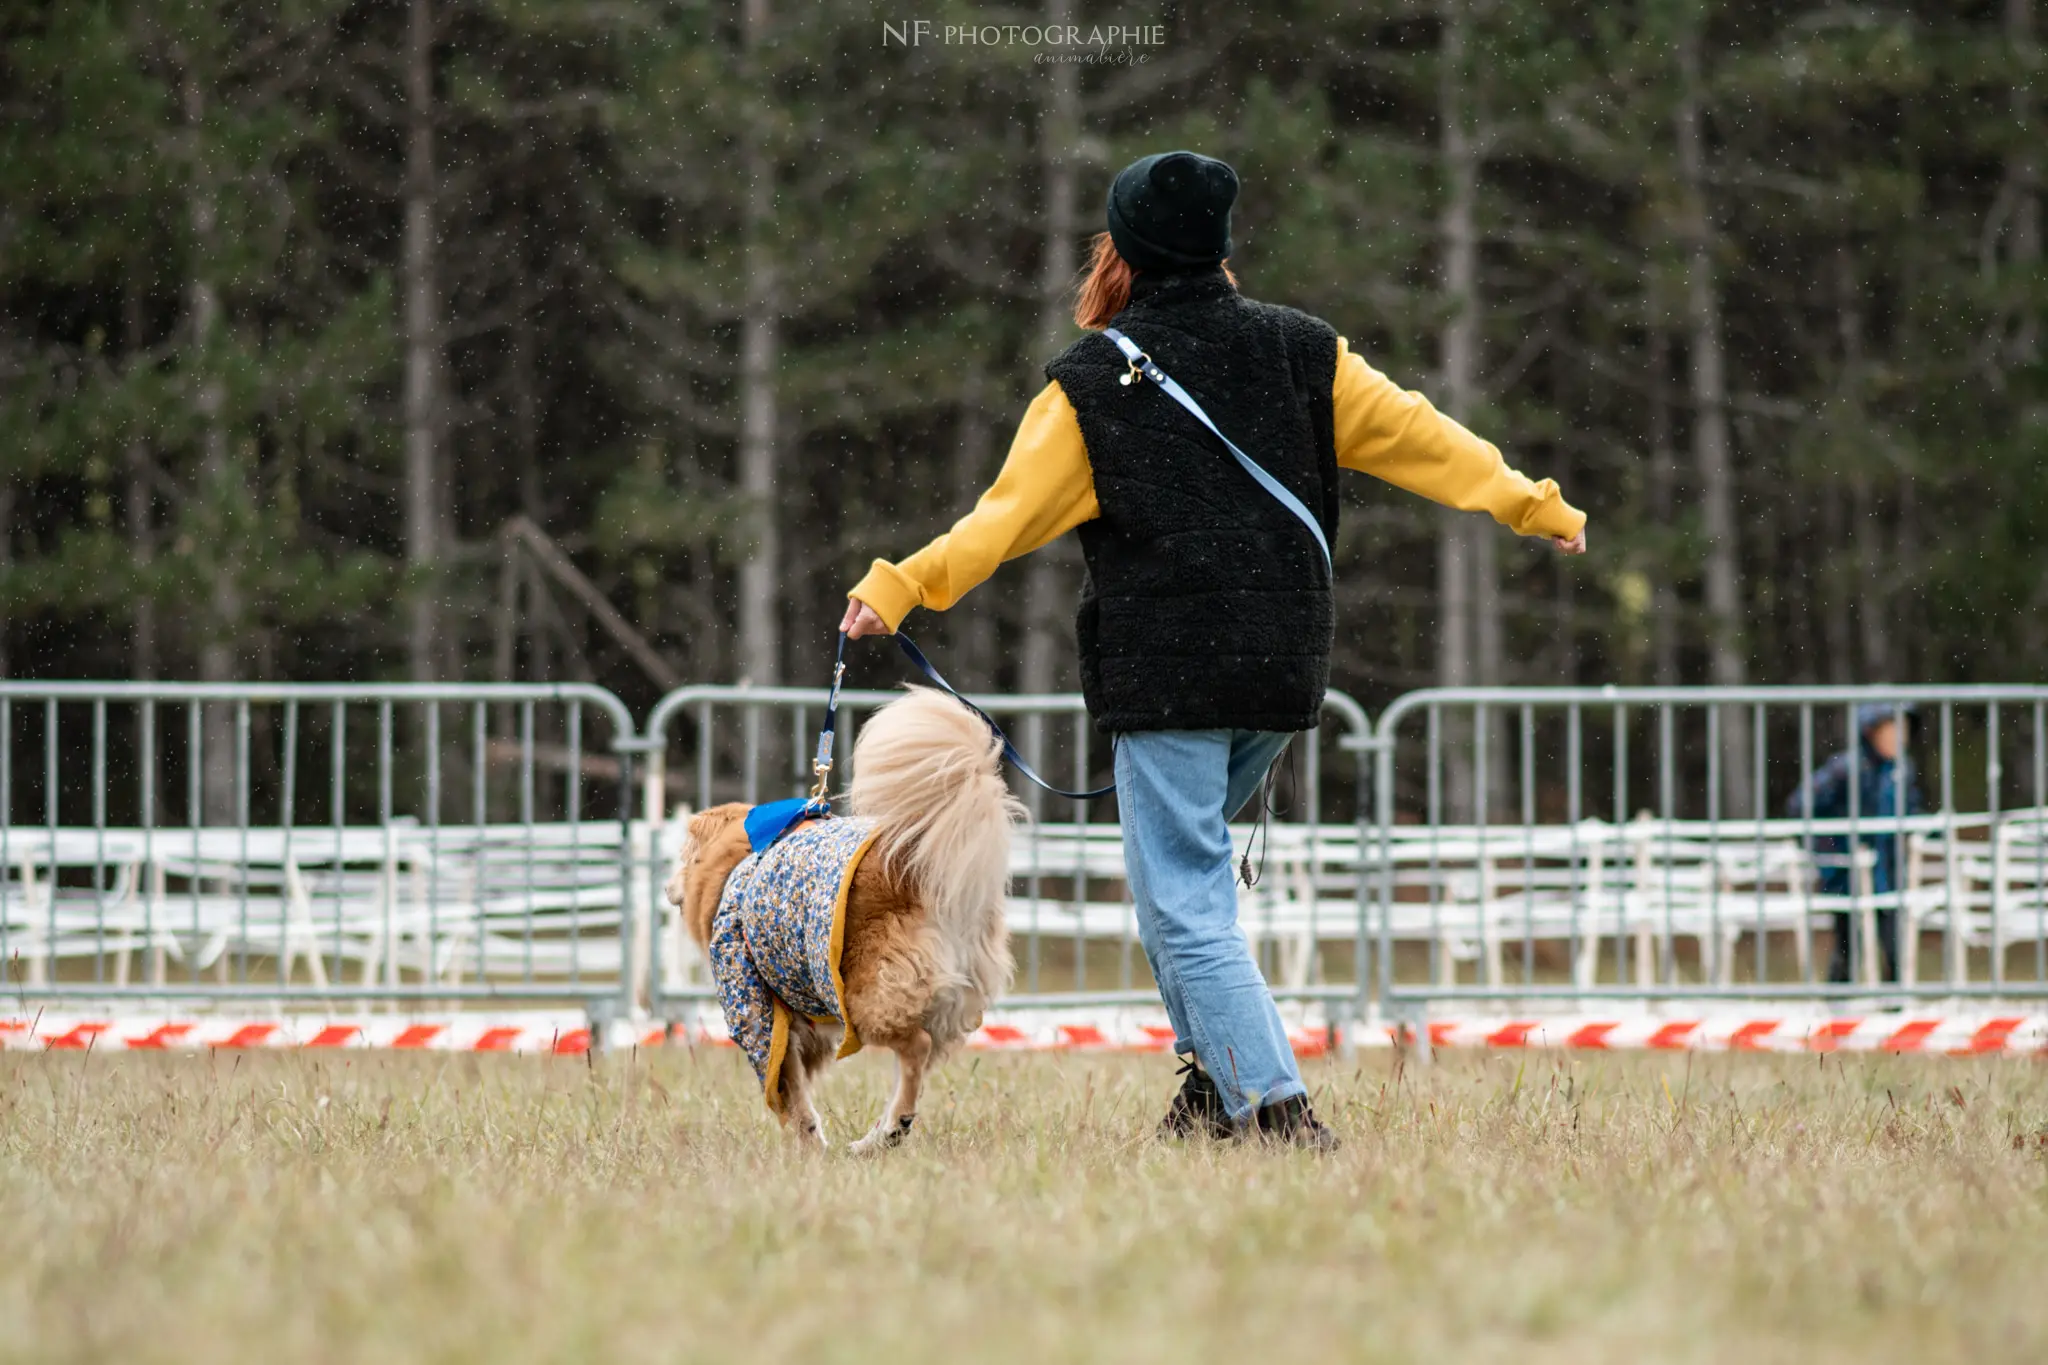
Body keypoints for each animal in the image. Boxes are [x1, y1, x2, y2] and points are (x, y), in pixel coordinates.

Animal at [667, 687, 1024, 1146]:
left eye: (682, 857)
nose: (667, 887)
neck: (739, 859)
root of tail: (919, 868)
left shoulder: (759, 1012)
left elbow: (787, 1090)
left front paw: (807, 1145)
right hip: (943, 998)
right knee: (917, 1062)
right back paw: (876, 1139)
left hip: (869, 993)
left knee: (916, 1048)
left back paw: (891, 1128)